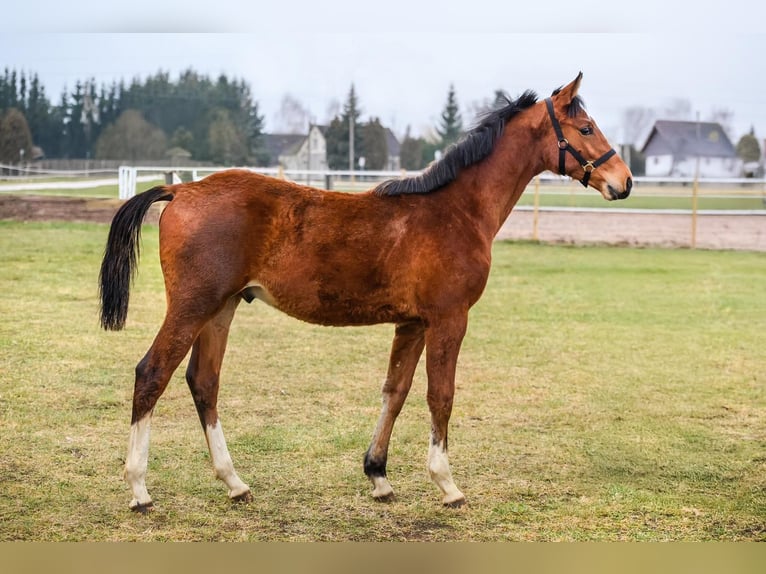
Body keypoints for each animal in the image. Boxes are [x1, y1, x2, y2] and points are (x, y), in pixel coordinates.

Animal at [99, 73, 632, 512]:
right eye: (586, 129)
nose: (623, 182)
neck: (456, 211)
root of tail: (181, 190)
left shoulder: (412, 323)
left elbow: (395, 391)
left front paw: (378, 476)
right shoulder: (449, 318)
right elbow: (440, 394)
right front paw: (447, 484)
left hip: (222, 308)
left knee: (203, 382)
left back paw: (235, 483)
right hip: (193, 306)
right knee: (152, 373)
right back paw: (140, 490)